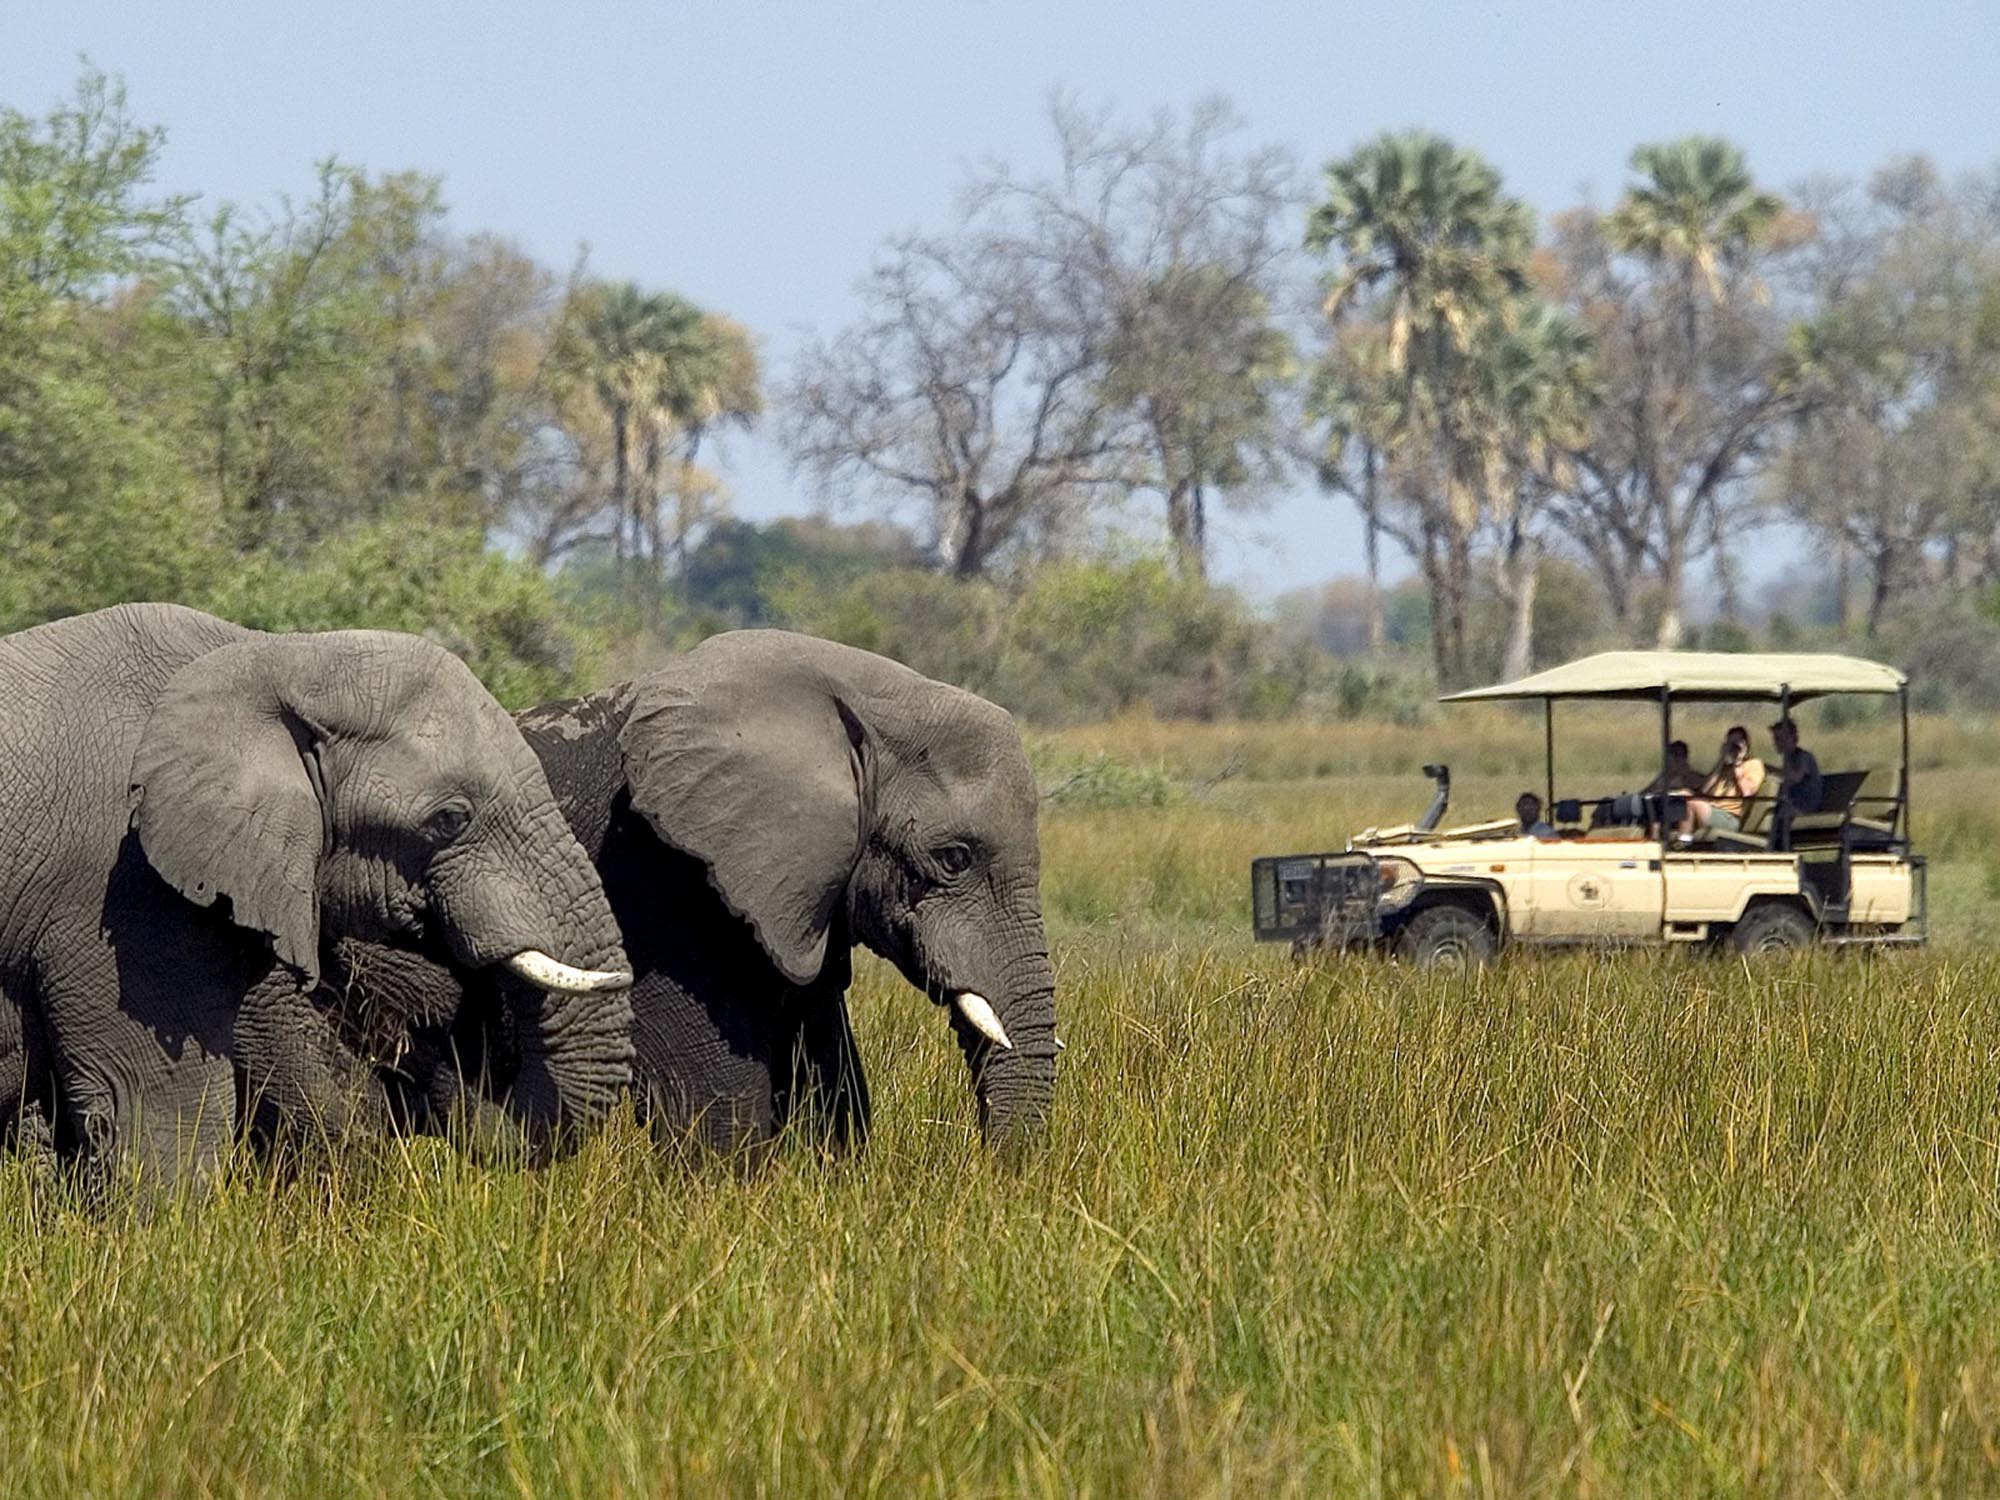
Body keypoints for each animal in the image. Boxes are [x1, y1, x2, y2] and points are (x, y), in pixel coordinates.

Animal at [241, 630, 1059, 1159]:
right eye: (953, 858)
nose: (991, 1179)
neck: (851, 692)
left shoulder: (797, 898)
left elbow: (831, 1087)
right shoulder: (658, 879)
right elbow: (719, 1103)